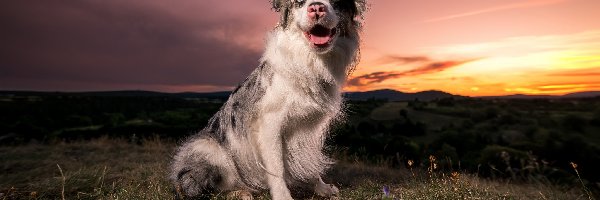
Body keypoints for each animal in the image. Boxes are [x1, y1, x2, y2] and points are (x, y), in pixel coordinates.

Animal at [169, 0, 366, 199]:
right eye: (299, 3)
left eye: (336, 2)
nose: (316, 8)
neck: (312, 60)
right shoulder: (270, 124)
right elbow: (277, 168)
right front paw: (283, 196)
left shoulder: (310, 129)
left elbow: (310, 162)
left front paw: (322, 188)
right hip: (207, 147)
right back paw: (239, 192)